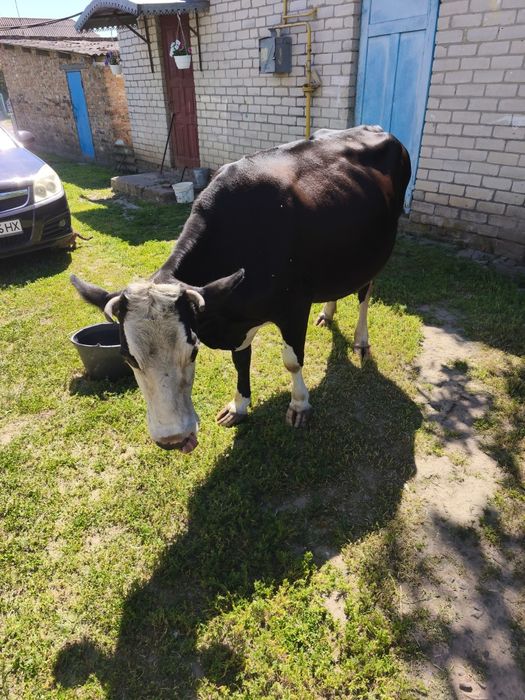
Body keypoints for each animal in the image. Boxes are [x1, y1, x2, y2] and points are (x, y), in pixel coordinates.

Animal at [71, 125, 411, 454]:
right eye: (128, 358)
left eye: (192, 350)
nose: (173, 439)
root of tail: (375, 128)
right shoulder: (235, 319)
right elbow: (241, 360)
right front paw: (239, 406)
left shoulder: (294, 308)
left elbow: (292, 360)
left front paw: (299, 405)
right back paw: (327, 313)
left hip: (375, 251)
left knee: (365, 293)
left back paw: (360, 340)